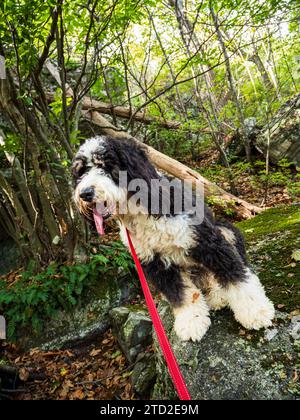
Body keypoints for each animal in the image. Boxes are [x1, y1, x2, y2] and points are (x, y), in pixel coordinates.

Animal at [72, 136, 274, 342]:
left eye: (106, 165)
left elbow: (236, 277)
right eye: (81, 172)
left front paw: (255, 311)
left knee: (236, 267)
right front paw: (191, 321)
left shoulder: (206, 242)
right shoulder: (154, 262)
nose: (85, 194)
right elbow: (180, 294)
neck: (142, 210)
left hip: (225, 230)